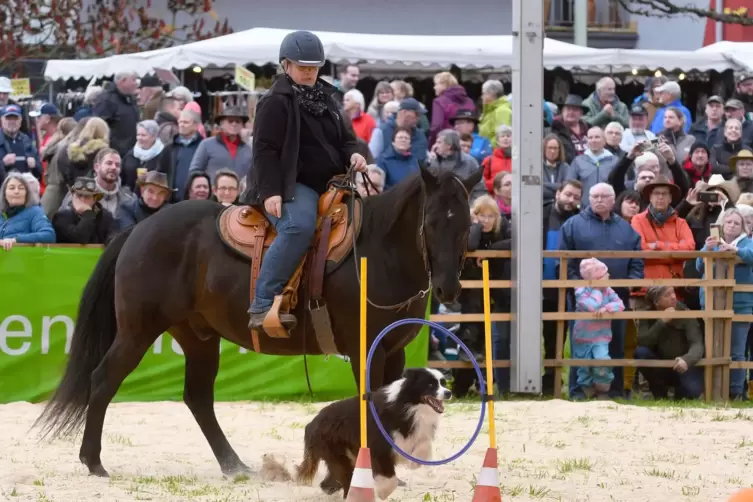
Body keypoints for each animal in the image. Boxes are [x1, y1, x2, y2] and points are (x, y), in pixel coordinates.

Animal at [33, 167, 482, 476]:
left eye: (466, 223)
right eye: (431, 221)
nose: (448, 288)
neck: (378, 253)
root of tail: (138, 229)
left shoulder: (394, 350)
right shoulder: (363, 349)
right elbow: (368, 402)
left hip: (197, 336)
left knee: (198, 397)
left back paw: (233, 465)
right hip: (137, 331)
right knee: (103, 380)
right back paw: (93, 461)